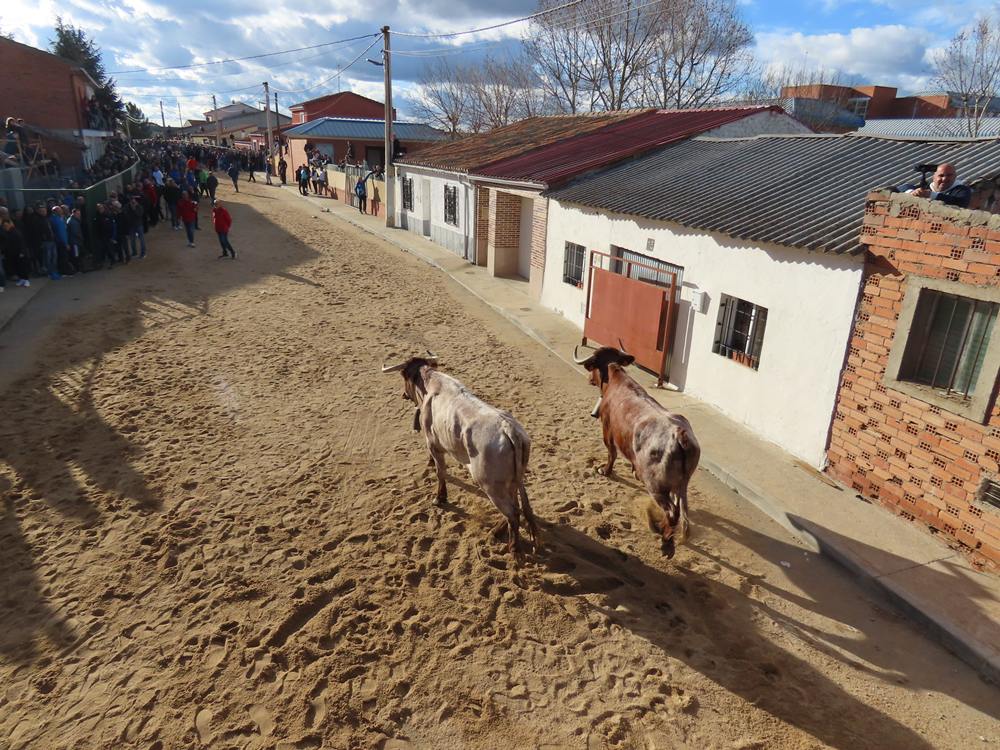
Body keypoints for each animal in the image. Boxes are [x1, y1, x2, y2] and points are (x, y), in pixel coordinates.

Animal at [576, 346, 700, 560]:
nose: (589, 378)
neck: (616, 380)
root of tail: (679, 434)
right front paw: (632, 470)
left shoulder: (607, 428)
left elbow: (611, 453)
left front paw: (604, 471)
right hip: (681, 483)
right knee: (681, 509)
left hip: (655, 485)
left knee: (672, 511)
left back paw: (666, 543)